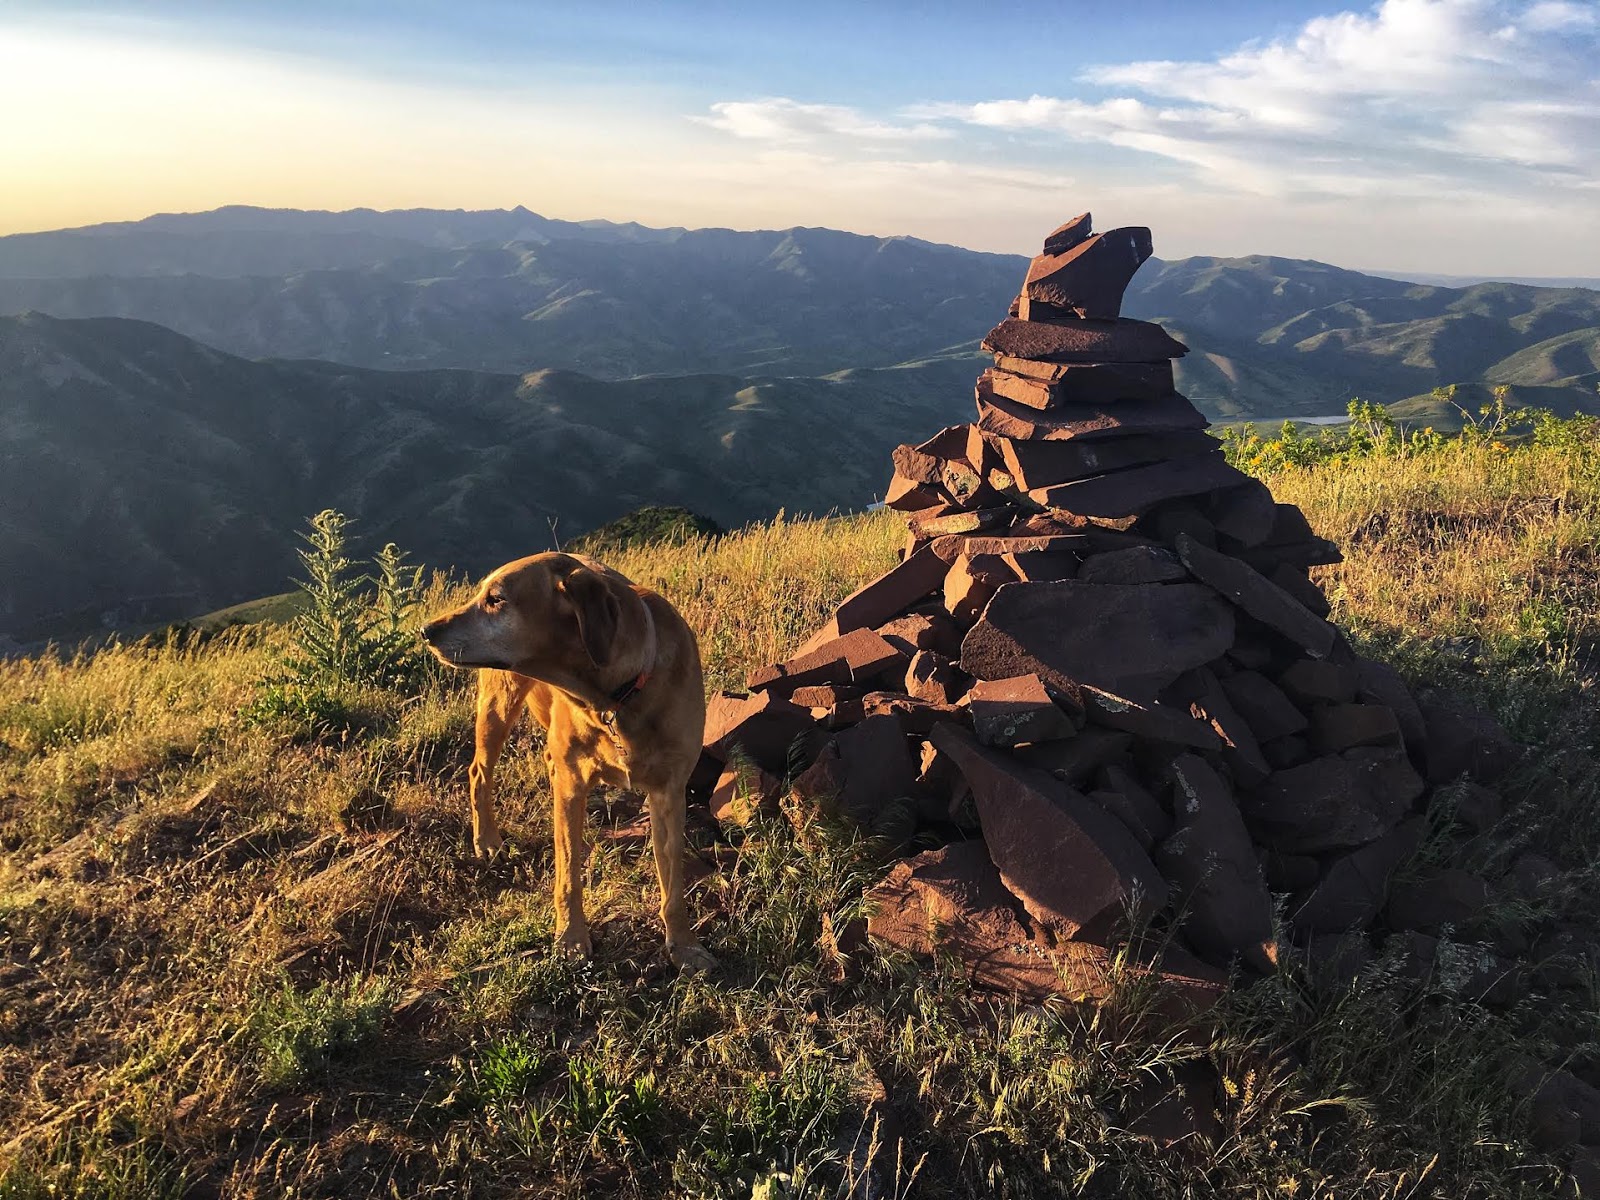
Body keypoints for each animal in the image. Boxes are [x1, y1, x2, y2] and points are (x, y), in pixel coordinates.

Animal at [419, 553, 713, 979]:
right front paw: (571, 939)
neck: (615, 697)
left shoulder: (669, 792)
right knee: (479, 772)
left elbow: (673, 885)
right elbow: (568, 875)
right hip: (498, 702)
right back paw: (487, 840)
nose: (426, 630)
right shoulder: (572, 785)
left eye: (496, 599)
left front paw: (685, 947)